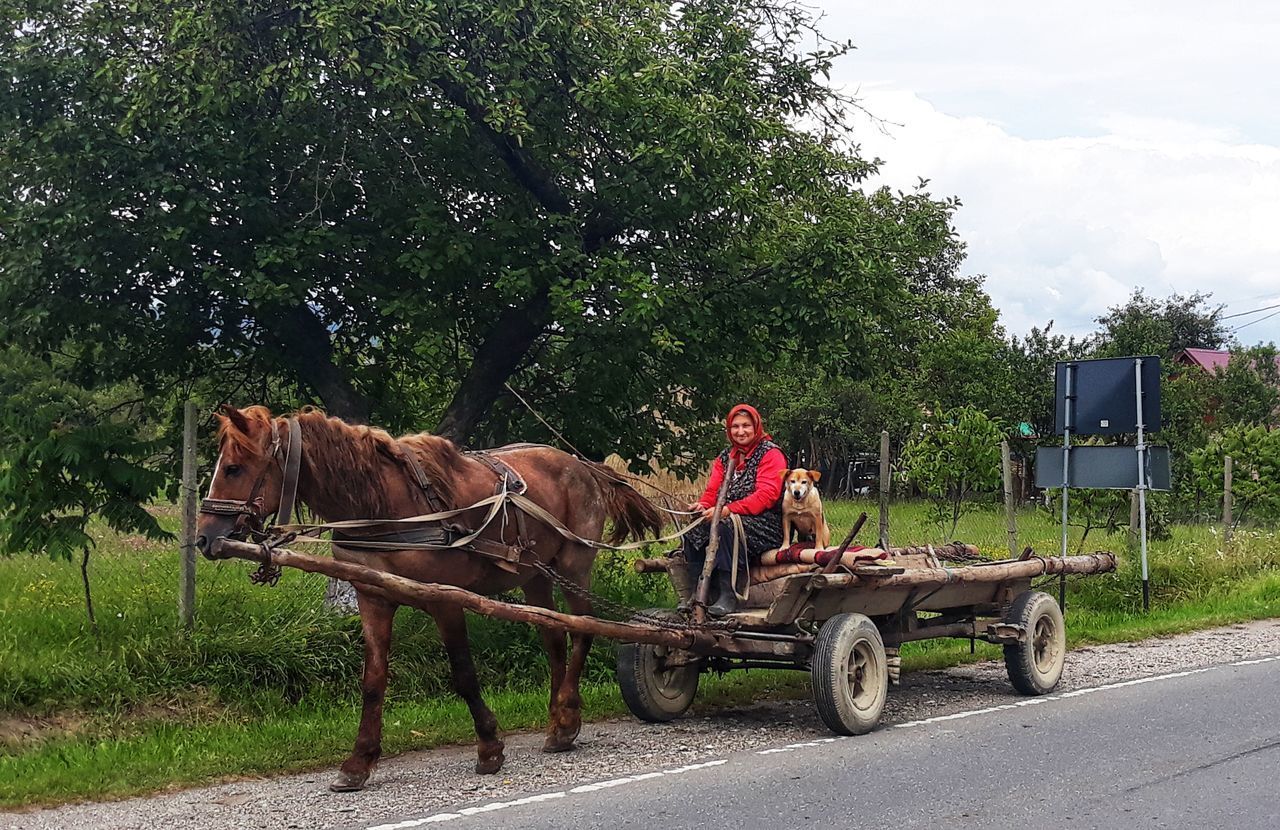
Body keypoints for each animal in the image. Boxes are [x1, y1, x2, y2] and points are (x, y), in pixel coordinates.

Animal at [194, 404, 665, 794]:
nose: (204, 537)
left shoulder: (445, 601)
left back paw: (566, 716)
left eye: (233, 468)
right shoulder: (373, 598)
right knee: (554, 638)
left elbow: (463, 674)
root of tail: (581, 464)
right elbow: (373, 681)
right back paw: (559, 723)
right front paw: (359, 762)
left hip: (573, 565)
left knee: (584, 630)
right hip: (535, 576)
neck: (385, 505)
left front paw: (489, 747)